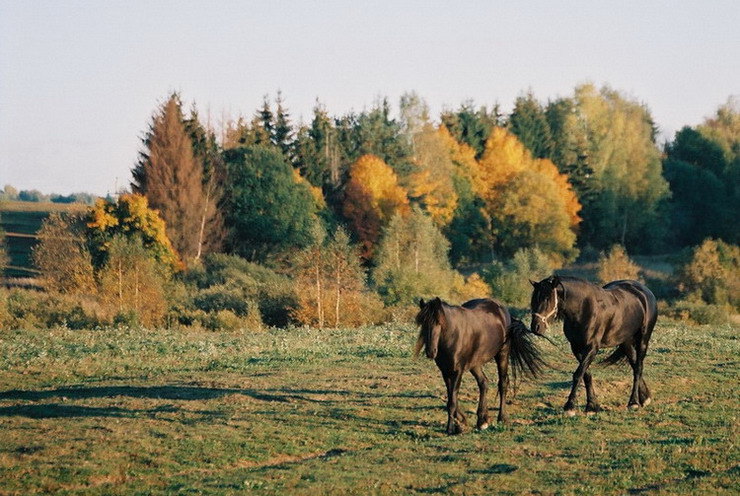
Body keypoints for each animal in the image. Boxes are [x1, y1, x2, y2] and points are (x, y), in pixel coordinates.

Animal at [416, 298, 544, 434]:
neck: (453, 335)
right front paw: (461, 421)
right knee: (483, 383)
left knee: (502, 384)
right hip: (475, 363)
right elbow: (451, 397)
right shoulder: (445, 371)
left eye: (439, 323)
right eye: (423, 324)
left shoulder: (457, 371)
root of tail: (502, 308)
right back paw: (482, 420)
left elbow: (452, 401)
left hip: (502, 354)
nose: (431, 352)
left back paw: (502, 417)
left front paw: (450, 428)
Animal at [528, 276, 660, 414]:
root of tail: (644, 291)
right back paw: (644, 398)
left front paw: (570, 406)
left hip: (643, 339)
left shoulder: (592, 348)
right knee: (635, 365)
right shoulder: (576, 347)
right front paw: (592, 406)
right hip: (626, 342)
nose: (535, 327)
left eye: (547, 298)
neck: (583, 309)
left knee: (638, 367)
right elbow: (586, 375)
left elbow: (578, 374)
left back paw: (633, 402)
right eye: (534, 299)